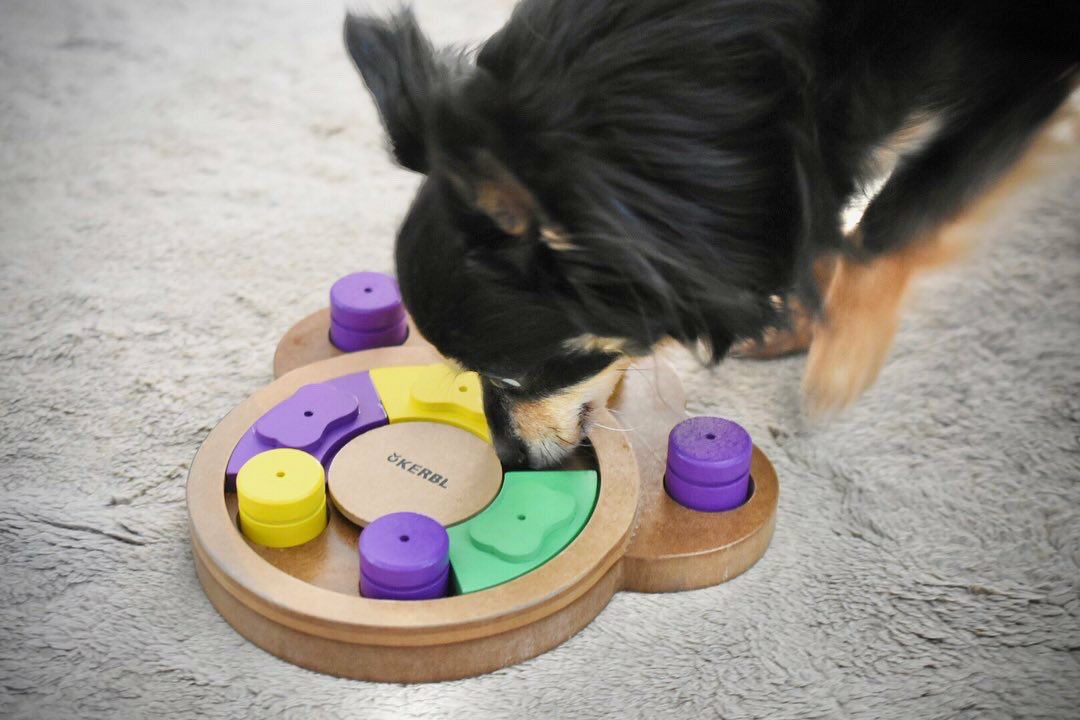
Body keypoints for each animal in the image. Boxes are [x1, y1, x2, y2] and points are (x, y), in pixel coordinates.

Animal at [343, 0, 1078, 467]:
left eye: (510, 376)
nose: (505, 458)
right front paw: (799, 320)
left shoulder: (1028, 73)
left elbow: (888, 223)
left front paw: (837, 367)